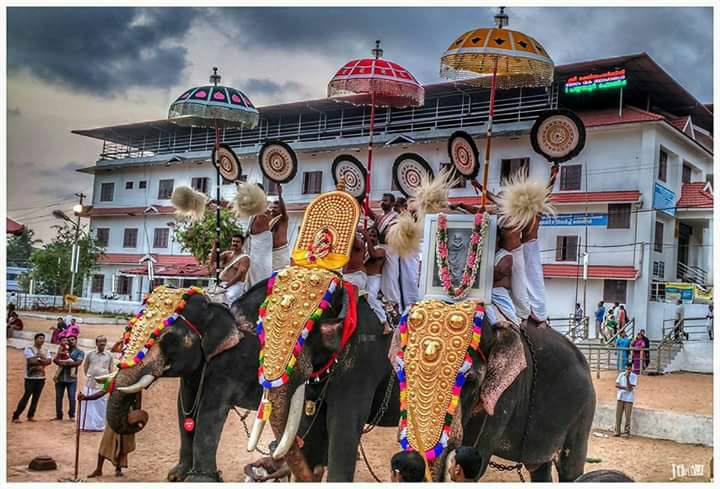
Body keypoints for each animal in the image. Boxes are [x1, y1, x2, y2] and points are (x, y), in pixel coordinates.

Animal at [104, 290, 264, 480]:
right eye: (128, 330)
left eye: (168, 339)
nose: (137, 421)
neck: (213, 306)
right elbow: (184, 409)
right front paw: (176, 476)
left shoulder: (229, 365)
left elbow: (210, 411)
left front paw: (198, 480)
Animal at [233, 274, 396, 480]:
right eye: (261, 334)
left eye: (305, 335)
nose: (317, 469)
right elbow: (310, 421)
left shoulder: (363, 361)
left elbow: (343, 430)